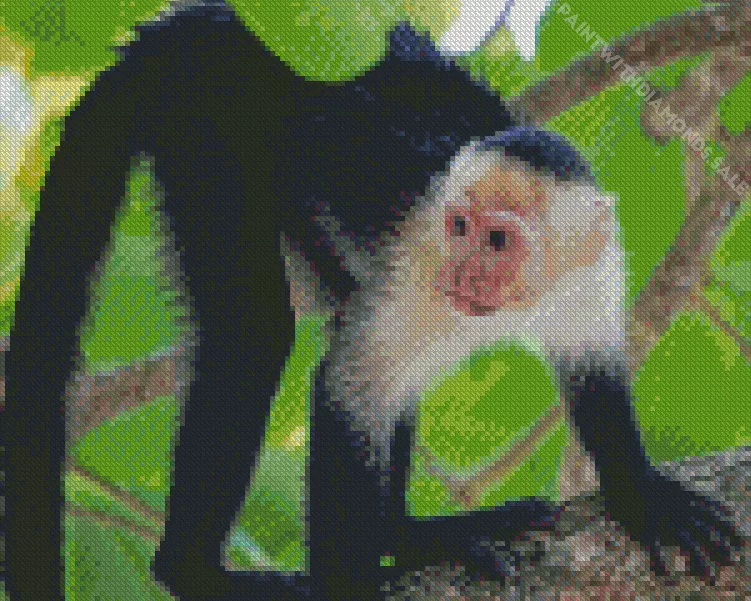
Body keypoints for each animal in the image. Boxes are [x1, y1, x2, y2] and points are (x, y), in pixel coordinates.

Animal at [2, 1, 740, 600]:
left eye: (498, 240)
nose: (462, 273)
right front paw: (348, 584)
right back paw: (193, 571)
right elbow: (345, 393)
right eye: (458, 227)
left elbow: (594, 374)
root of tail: (196, 22)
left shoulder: (592, 270)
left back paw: (407, 536)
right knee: (255, 333)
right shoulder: (420, 265)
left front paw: (640, 494)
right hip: (202, 118)